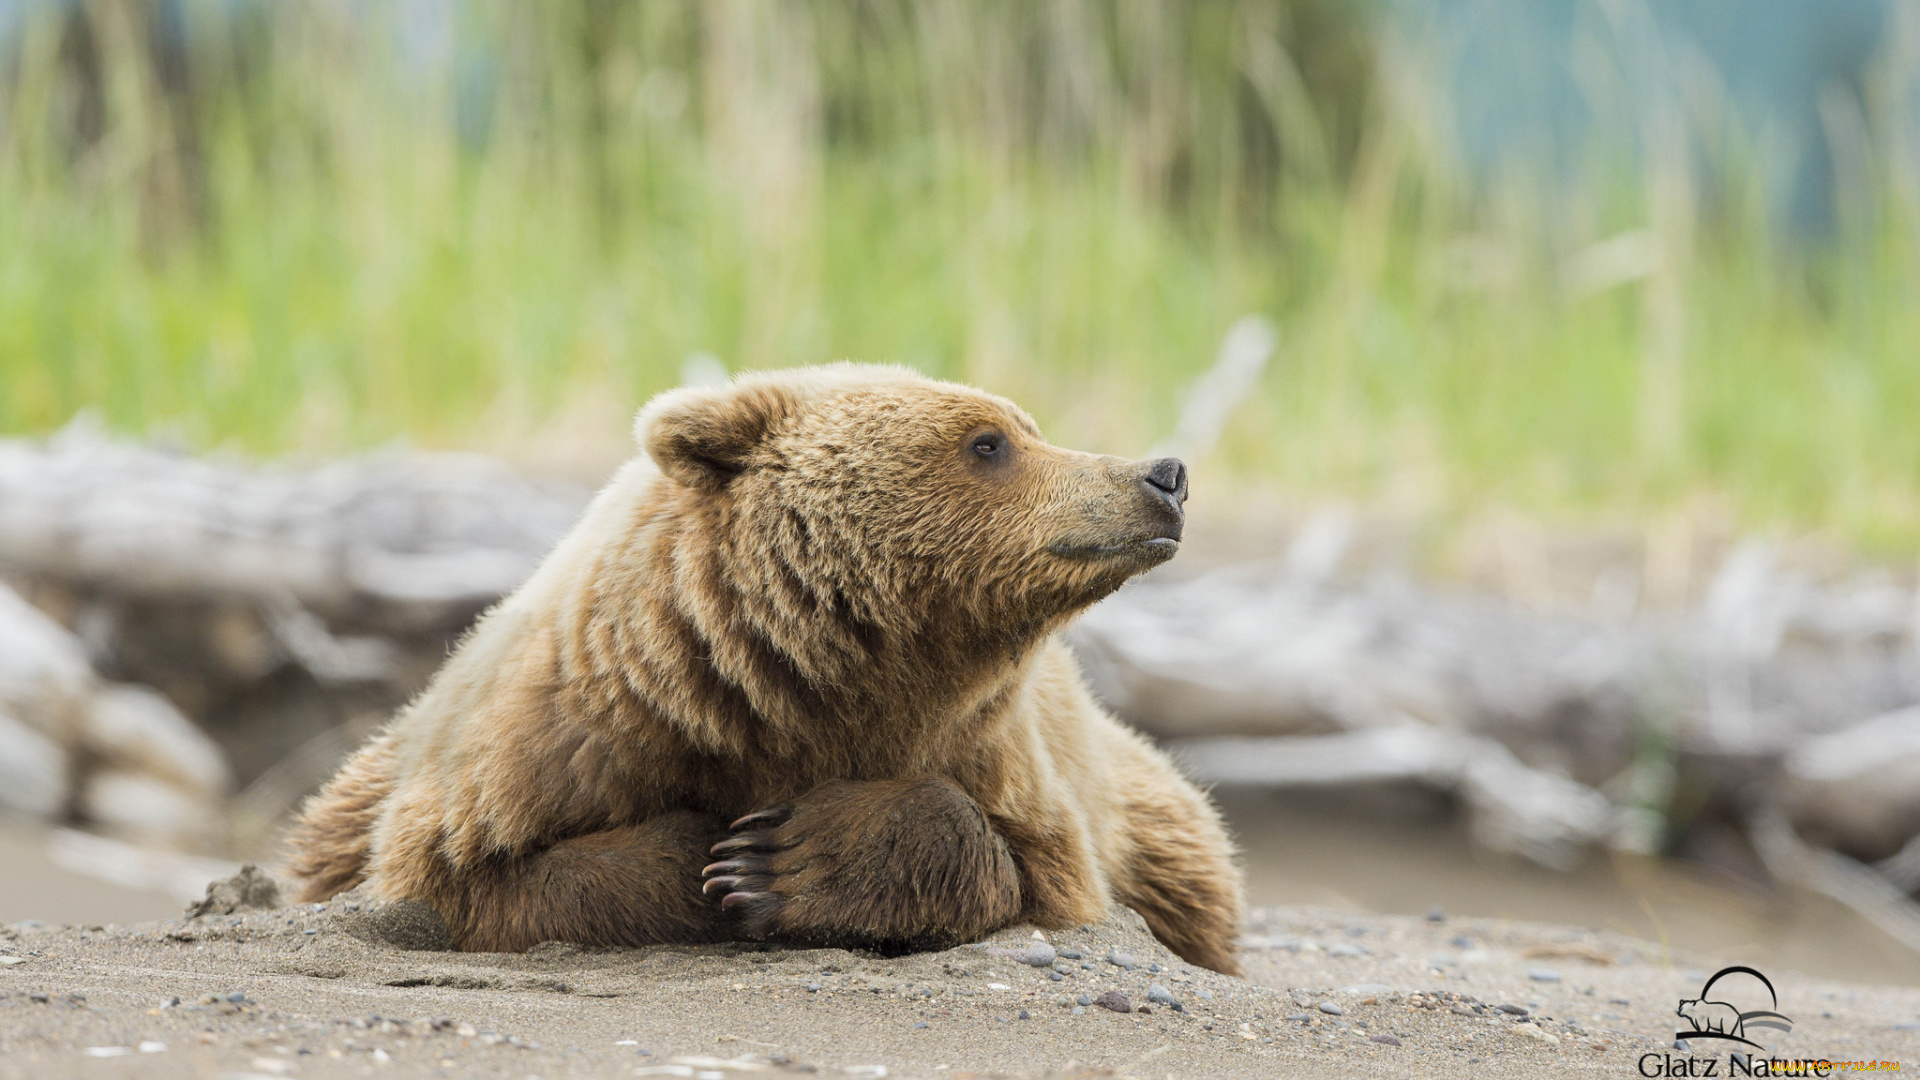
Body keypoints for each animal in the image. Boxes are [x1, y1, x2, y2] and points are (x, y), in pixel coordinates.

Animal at [284, 365, 1244, 972]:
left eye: (1021, 429)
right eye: (989, 442)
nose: (1162, 475)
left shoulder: (1002, 765)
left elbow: (1014, 865)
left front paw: (779, 862)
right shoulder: (560, 738)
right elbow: (472, 881)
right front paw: (713, 860)